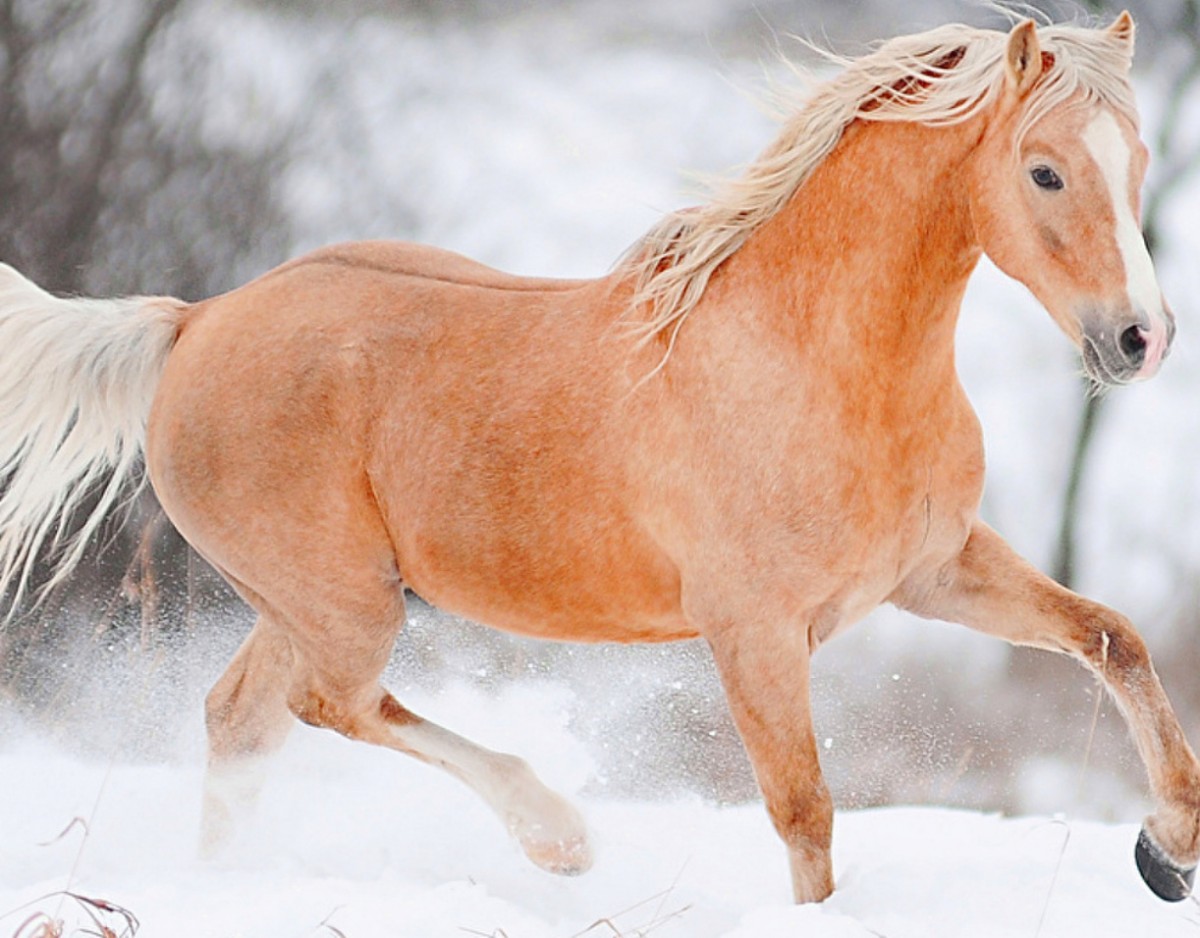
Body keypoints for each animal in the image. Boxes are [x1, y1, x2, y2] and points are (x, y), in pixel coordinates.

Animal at [2, 11, 1200, 906]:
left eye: (1139, 160)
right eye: (1045, 173)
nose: (1139, 339)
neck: (814, 360)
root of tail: (193, 322)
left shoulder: (933, 569)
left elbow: (1115, 637)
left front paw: (1169, 850)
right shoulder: (754, 631)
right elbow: (805, 812)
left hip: (303, 602)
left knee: (242, 718)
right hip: (345, 599)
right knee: (329, 704)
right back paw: (557, 834)